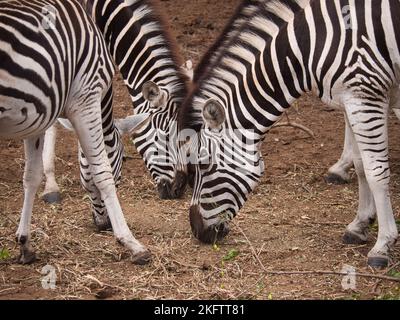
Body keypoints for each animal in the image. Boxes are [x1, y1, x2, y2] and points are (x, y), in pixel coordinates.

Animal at [0, 0, 150, 264]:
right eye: (122, 163)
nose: (103, 226)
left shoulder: (37, 109)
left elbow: (31, 176)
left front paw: (25, 243)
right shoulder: (86, 98)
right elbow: (102, 171)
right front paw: (131, 243)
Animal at [180, 0, 400, 268]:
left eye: (204, 165)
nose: (197, 231)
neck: (308, 45)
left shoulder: (366, 94)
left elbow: (376, 172)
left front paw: (383, 245)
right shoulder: (353, 97)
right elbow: (361, 166)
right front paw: (359, 225)